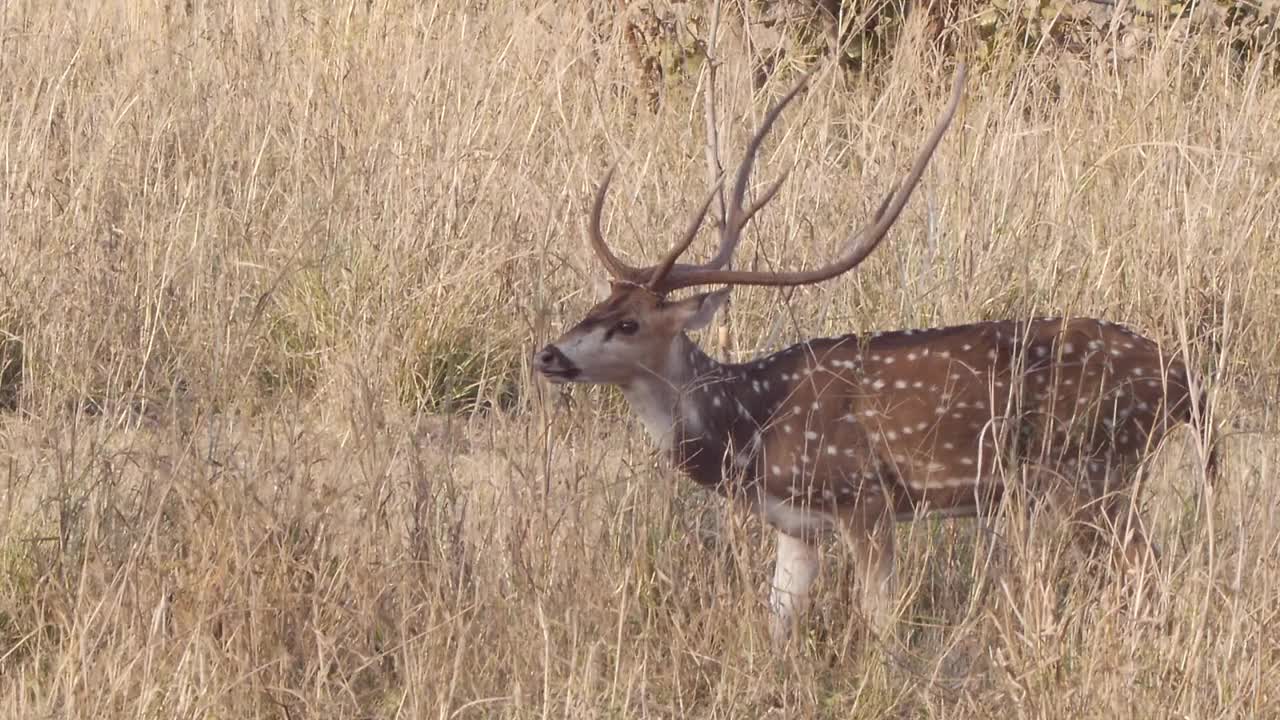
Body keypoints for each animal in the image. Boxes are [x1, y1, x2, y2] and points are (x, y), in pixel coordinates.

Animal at [535, 65, 1213, 638]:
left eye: (628, 324)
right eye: (593, 308)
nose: (548, 355)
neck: (749, 430)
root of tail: (1185, 381)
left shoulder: (864, 498)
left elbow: (881, 617)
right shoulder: (795, 523)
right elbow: (778, 621)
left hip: (1096, 469)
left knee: (1149, 569)